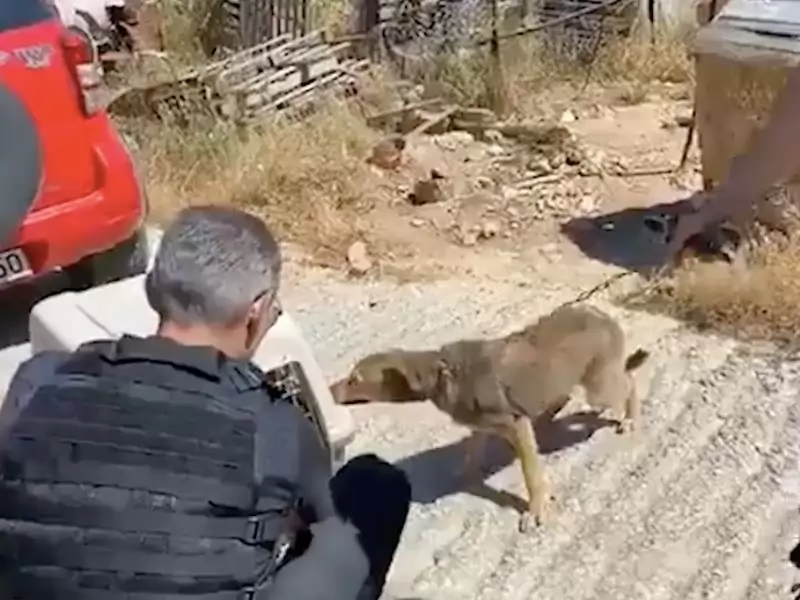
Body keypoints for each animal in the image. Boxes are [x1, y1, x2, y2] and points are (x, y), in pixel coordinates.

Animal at [332, 304, 648, 528]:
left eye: (355, 380)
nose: (330, 390)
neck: (443, 374)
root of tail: (603, 315)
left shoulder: (516, 424)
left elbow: (532, 474)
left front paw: (537, 508)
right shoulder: (481, 426)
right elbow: (473, 452)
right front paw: (467, 475)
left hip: (598, 385)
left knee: (629, 383)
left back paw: (630, 417)